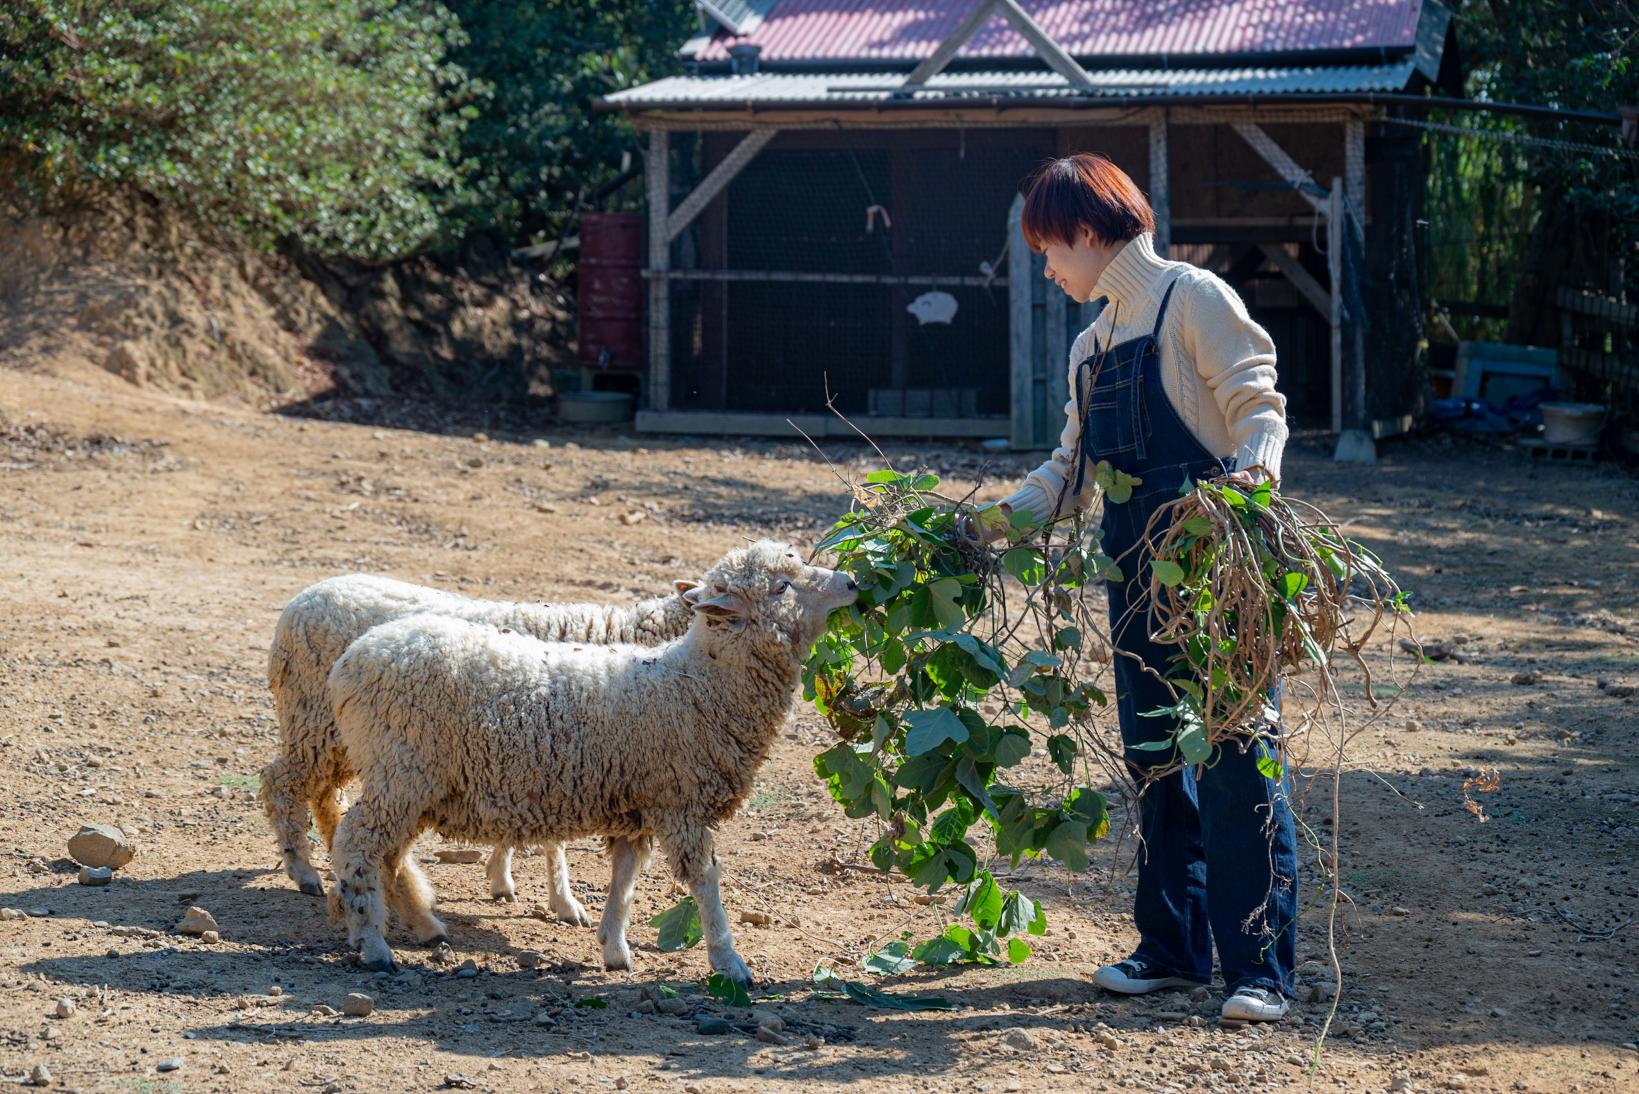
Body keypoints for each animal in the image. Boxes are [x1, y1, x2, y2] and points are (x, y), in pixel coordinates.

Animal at [257, 574, 698, 925]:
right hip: (314, 721)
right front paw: (563, 901)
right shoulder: (556, 752)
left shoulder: (539, 754)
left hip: (345, 740)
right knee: (281, 781)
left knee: (324, 794)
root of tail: (304, 597)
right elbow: (554, 841)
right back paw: (303, 871)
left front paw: (504, 876)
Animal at [321, 544, 858, 977]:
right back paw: (372, 943)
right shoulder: (679, 802)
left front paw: (614, 948)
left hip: (413, 785)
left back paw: (416, 924)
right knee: (356, 843)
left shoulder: (636, 808)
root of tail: (349, 662)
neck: (695, 684)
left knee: (387, 856)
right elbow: (705, 883)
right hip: (401, 772)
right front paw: (728, 961)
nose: (852, 582)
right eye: (782, 585)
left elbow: (624, 881)